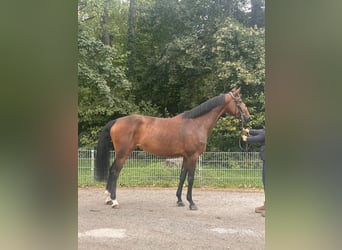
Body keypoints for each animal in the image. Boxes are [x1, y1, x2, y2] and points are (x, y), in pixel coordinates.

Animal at [95, 87, 250, 209]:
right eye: (239, 101)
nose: (248, 118)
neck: (196, 123)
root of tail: (116, 121)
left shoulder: (186, 157)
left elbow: (182, 177)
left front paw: (180, 201)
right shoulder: (193, 156)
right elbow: (191, 178)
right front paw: (191, 203)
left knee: (111, 170)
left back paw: (108, 198)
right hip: (123, 153)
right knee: (115, 172)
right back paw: (114, 201)